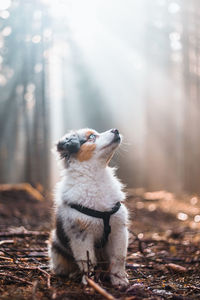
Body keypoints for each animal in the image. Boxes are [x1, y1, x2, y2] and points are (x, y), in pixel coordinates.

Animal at [49, 127, 129, 286]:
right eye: (91, 137)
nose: (116, 130)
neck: (96, 176)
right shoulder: (81, 235)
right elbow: (87, 260)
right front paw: (90, 281)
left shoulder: (119, 230)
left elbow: (118, 258)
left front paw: (119, 279)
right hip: (56, 248)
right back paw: (74, 274)